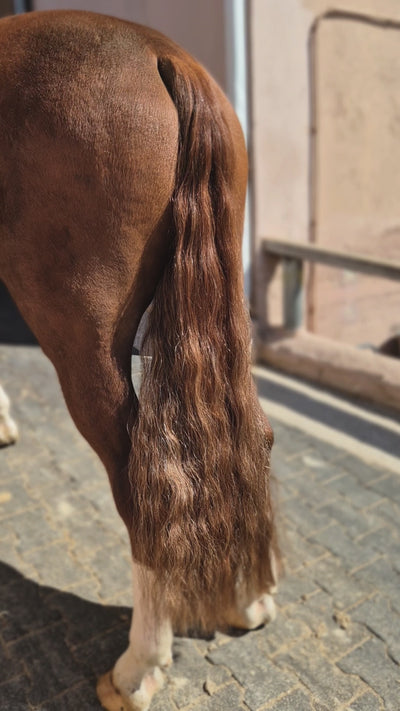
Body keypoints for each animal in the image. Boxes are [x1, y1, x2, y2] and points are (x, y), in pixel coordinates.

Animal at [0, 10, 279, 711]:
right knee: (246, 441)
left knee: (145, 480)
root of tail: (161, 56)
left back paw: (140, 664)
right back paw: (247, 597)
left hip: (82, 339)